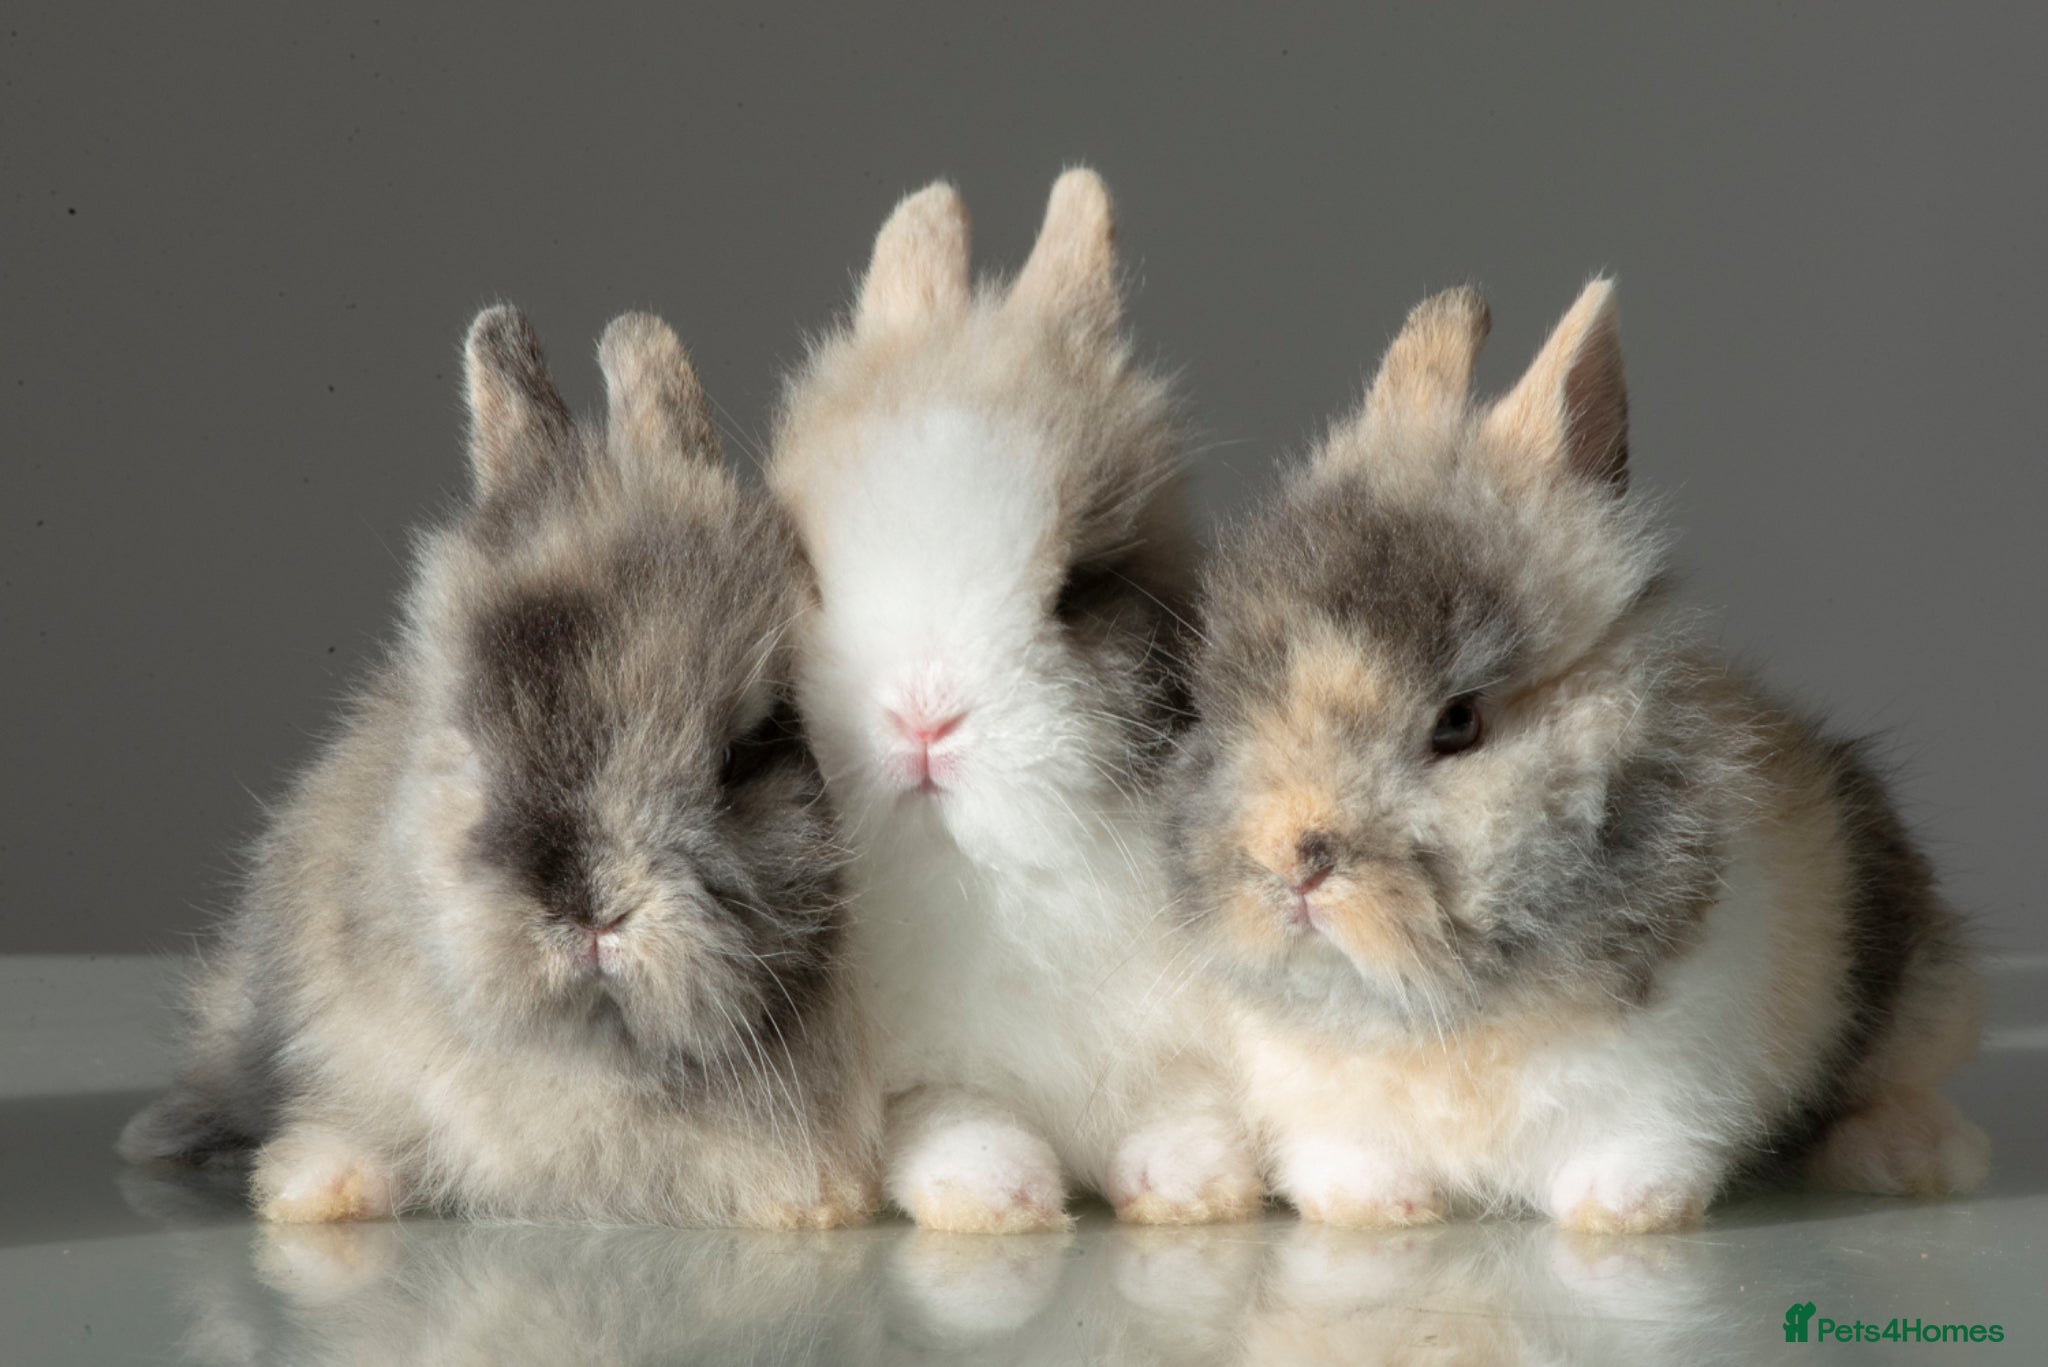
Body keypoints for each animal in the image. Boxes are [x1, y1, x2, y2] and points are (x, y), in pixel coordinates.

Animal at [766, 169, 1262, 1232]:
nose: (923, 715)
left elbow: (1185, 1100)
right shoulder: (909, 1075)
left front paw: (1190, 1184)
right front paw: (997, 1193)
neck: (987, 886)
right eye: (814, 578)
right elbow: (951, 1108)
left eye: (1077, 589)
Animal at [1163, 279, 1989, 1233]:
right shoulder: (1314, 1092)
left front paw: (1622, 1212)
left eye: (1458, 722)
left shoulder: (1664, 1076)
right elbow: (1348, 1154)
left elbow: (1636, 1149)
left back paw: (1920, 1157)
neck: (1443, 1011)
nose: (1292, 861)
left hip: (1918, 984)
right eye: (1218, 700)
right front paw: (1376, 1208)